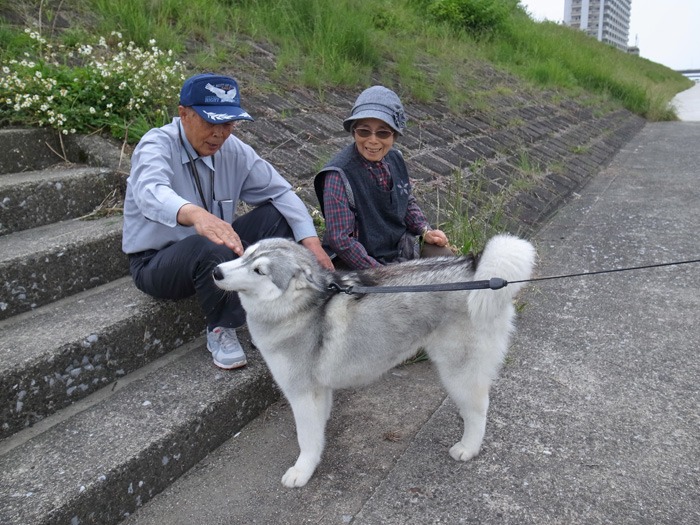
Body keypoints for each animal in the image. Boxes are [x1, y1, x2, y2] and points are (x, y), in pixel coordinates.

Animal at [213, 234, 536, 488]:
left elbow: (307, 438)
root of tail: (477, 269)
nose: (216, 271)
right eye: (244, 253)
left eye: (259, 271)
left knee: (480, 407)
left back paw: (469, 446)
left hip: (457, 367)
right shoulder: (319, 389)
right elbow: (317, 425)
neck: (297, 309)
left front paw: (302, 470)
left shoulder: (302, 392)